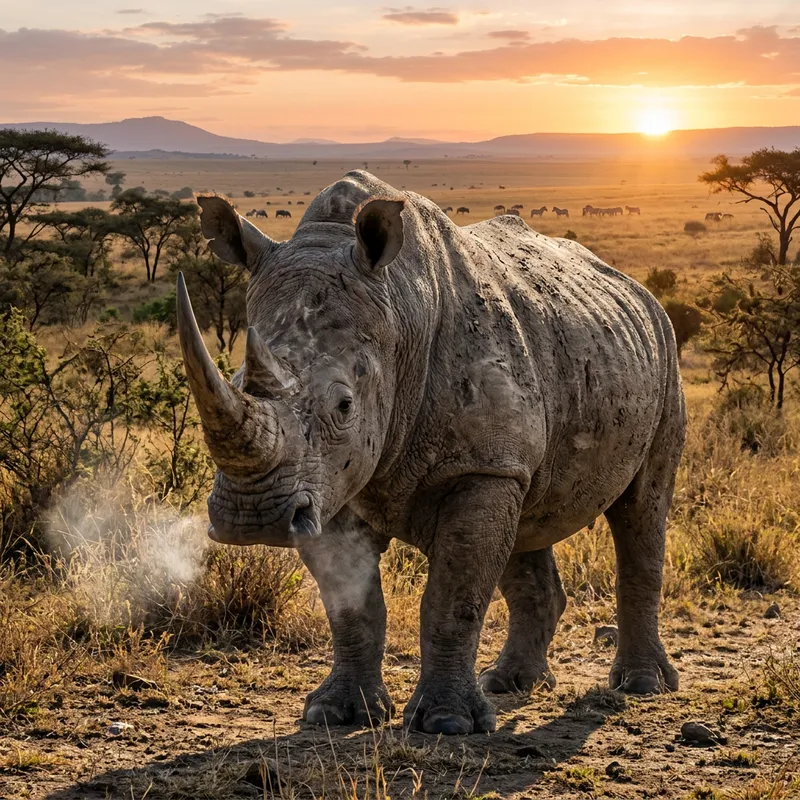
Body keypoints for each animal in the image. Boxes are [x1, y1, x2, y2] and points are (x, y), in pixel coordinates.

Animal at [177, 170, 685, 736]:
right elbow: (351, 605)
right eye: (236, 379)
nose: (253, 519)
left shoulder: (475, 467)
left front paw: (447, 723)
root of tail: (635, 287)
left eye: (344, 406)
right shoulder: (327, 481)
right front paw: (335, 713)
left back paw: (640, 685)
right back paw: (510, 683)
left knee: (642, 507)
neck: (400, 312)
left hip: (663, 351)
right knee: (528, 518)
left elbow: (453, 595)